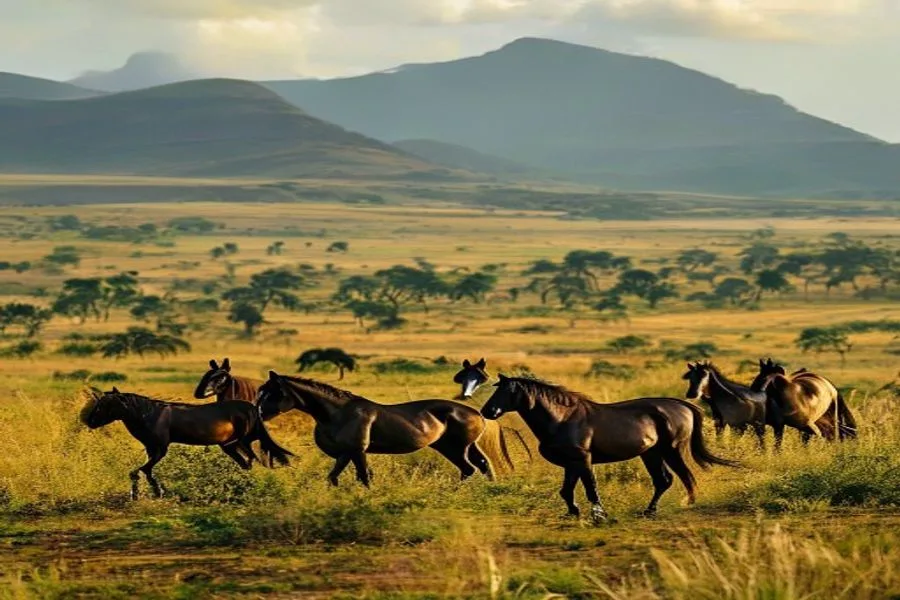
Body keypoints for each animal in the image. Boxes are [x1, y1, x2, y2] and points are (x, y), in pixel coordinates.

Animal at [79, 387, 293, 499]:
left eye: (105, 405)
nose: (89, 421)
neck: (147, 415)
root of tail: (253, 408)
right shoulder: (151, 450)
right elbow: (145, 471)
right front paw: (154, 492)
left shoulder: (160, 449)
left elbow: (140, 471)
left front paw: (145, 493)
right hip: (228, 446)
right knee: (246, 463)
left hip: (242, 441)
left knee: (251, 460)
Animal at [257, 372, 494, 486]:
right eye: (261, 391)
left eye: (273, 393)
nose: (258, 413)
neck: (336, 413)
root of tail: (477, 414)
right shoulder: (344, 454)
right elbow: (333, 477)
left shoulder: (356, 451)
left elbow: (363, 476)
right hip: (463, 447)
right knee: (483, 465)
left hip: (455, 449)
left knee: (469, 469)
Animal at [480, 375, 738, 523]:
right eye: (496, 388)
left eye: (509, 391)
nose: (487, 411)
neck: (562, 418)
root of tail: (683, 405)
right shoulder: (571, 463)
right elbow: (566, 491)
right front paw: (572, 513)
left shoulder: (583, 460)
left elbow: (591, 488)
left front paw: (599, 515)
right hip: (651, 453)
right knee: (663, 481)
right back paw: (649, 511)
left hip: (670, 451)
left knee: (685, 477)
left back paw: (685, 504)